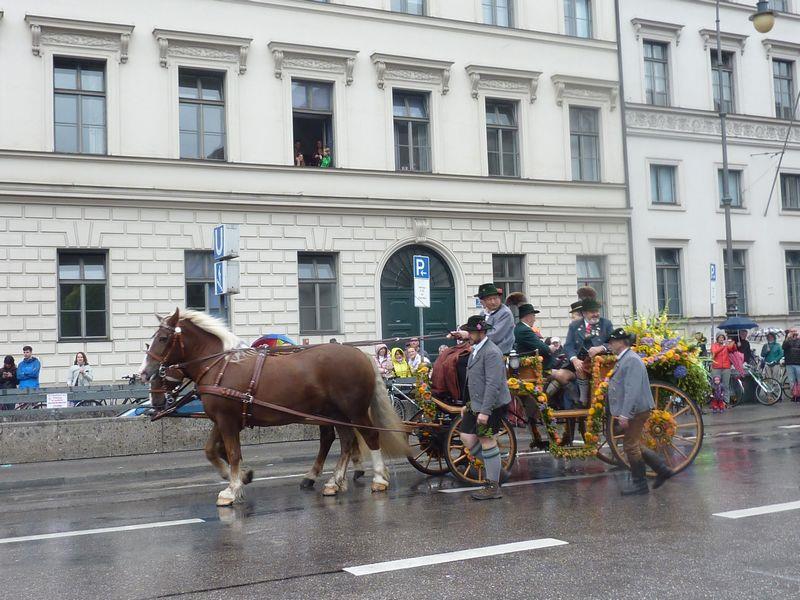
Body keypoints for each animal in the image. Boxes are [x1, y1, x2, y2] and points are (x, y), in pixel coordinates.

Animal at [139, 308, 408, 506]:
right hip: (335, 413)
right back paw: (334, 481)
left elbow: (232, 453)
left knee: (369, 436)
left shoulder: (227, 420)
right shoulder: (222, 419)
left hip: (354, 410)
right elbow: (212, 450)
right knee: (345, 441)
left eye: (163, 338)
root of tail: (360, 354)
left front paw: (232, 489)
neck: (220, 366)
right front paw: (240, 477)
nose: (143, 373)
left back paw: (378, 478)